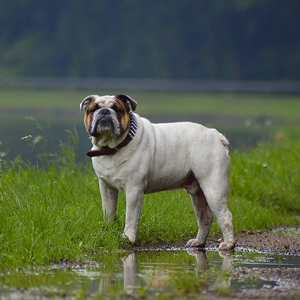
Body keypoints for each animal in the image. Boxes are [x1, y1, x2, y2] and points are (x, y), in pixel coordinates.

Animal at [81, 95, 236, 250]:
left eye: (117, 109)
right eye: (93, 109)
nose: (105, 111)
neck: (112, 148)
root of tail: (215, 134)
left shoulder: (134, 190)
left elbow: (130, 216)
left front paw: (128, 237)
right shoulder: (106, 188)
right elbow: (108, 211)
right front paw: (107, 230)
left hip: (213, 188)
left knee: (225, 215)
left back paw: (228, 244)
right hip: (198, 192)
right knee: (205, 217)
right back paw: (198, 242)